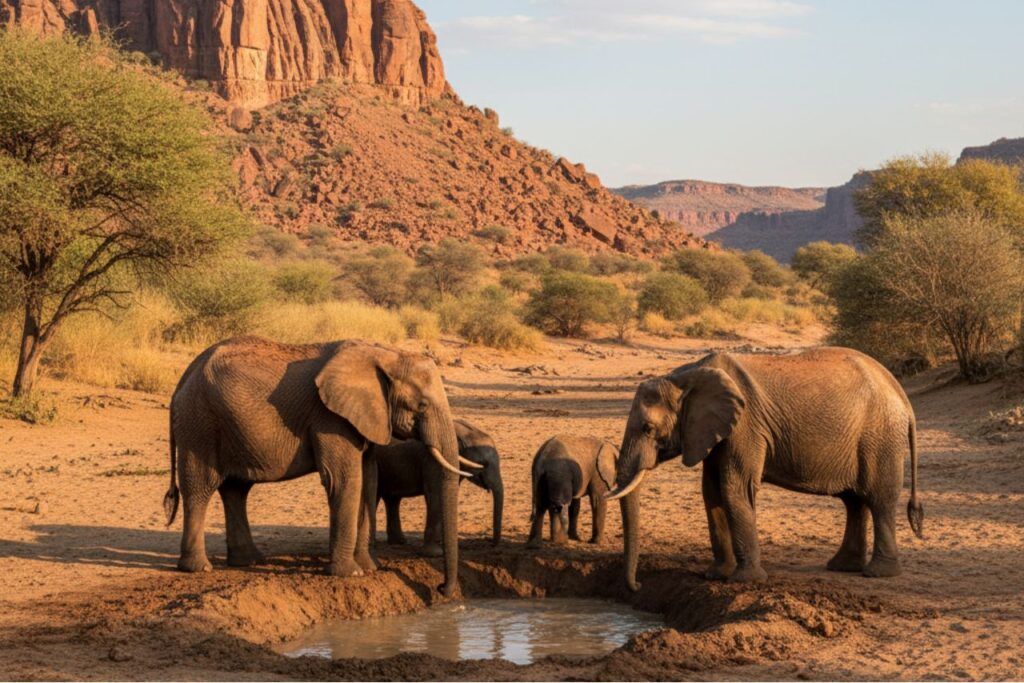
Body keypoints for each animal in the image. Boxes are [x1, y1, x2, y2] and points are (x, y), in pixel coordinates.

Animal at [163, 336, 473, 595]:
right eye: (421, 405)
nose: (442, 589)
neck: (383, 353)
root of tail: (184, 376)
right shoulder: (330, 418)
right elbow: (345, 480)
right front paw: (350, 574)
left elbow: (368, 480)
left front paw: (369, 568)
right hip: (200, 423)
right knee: (200, 488)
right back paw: (199, 568)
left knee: (236, 490)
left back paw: (248, 560)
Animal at [371, 419, 503, 553]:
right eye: (483, 463)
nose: (491, 544)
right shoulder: (433, 463)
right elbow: (435, 494)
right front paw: (434, 552)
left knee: (392, 499)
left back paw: (399, 543)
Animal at [607, 347, 924, 590]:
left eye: (648, 429)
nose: (638, 586)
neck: (683, 377)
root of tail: (900, 393)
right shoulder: (715, 429)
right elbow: (711, 491)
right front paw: (716, 576)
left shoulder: (746, 426)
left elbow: (734, 489)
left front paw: (745, 581)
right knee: (854, 501)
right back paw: (843, 567)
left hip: (880, 436)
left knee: (879, 500)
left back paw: (878, 574)